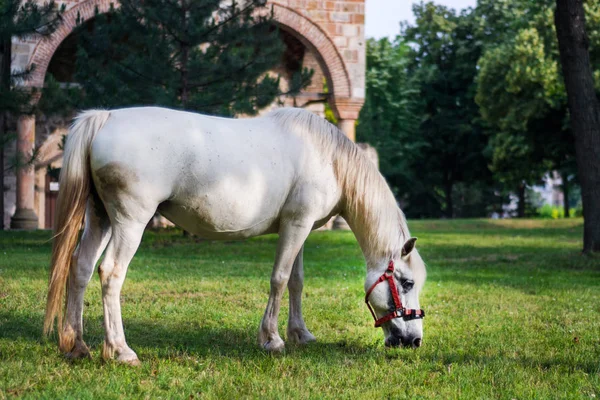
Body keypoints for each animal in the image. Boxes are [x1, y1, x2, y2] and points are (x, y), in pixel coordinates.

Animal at [43, 107, 426, 366]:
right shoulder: (296, 225)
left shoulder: (300, 228)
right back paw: (121, 350)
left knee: (80, 268)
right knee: (110, 273)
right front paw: (272, 340)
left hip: (100, 218)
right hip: (129, 223)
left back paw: (77, 345)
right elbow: (279, 279)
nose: (414, 340)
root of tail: (105, 117)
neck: (327, 158)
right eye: (406, 283)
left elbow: (297, 281)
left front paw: (300, 334)